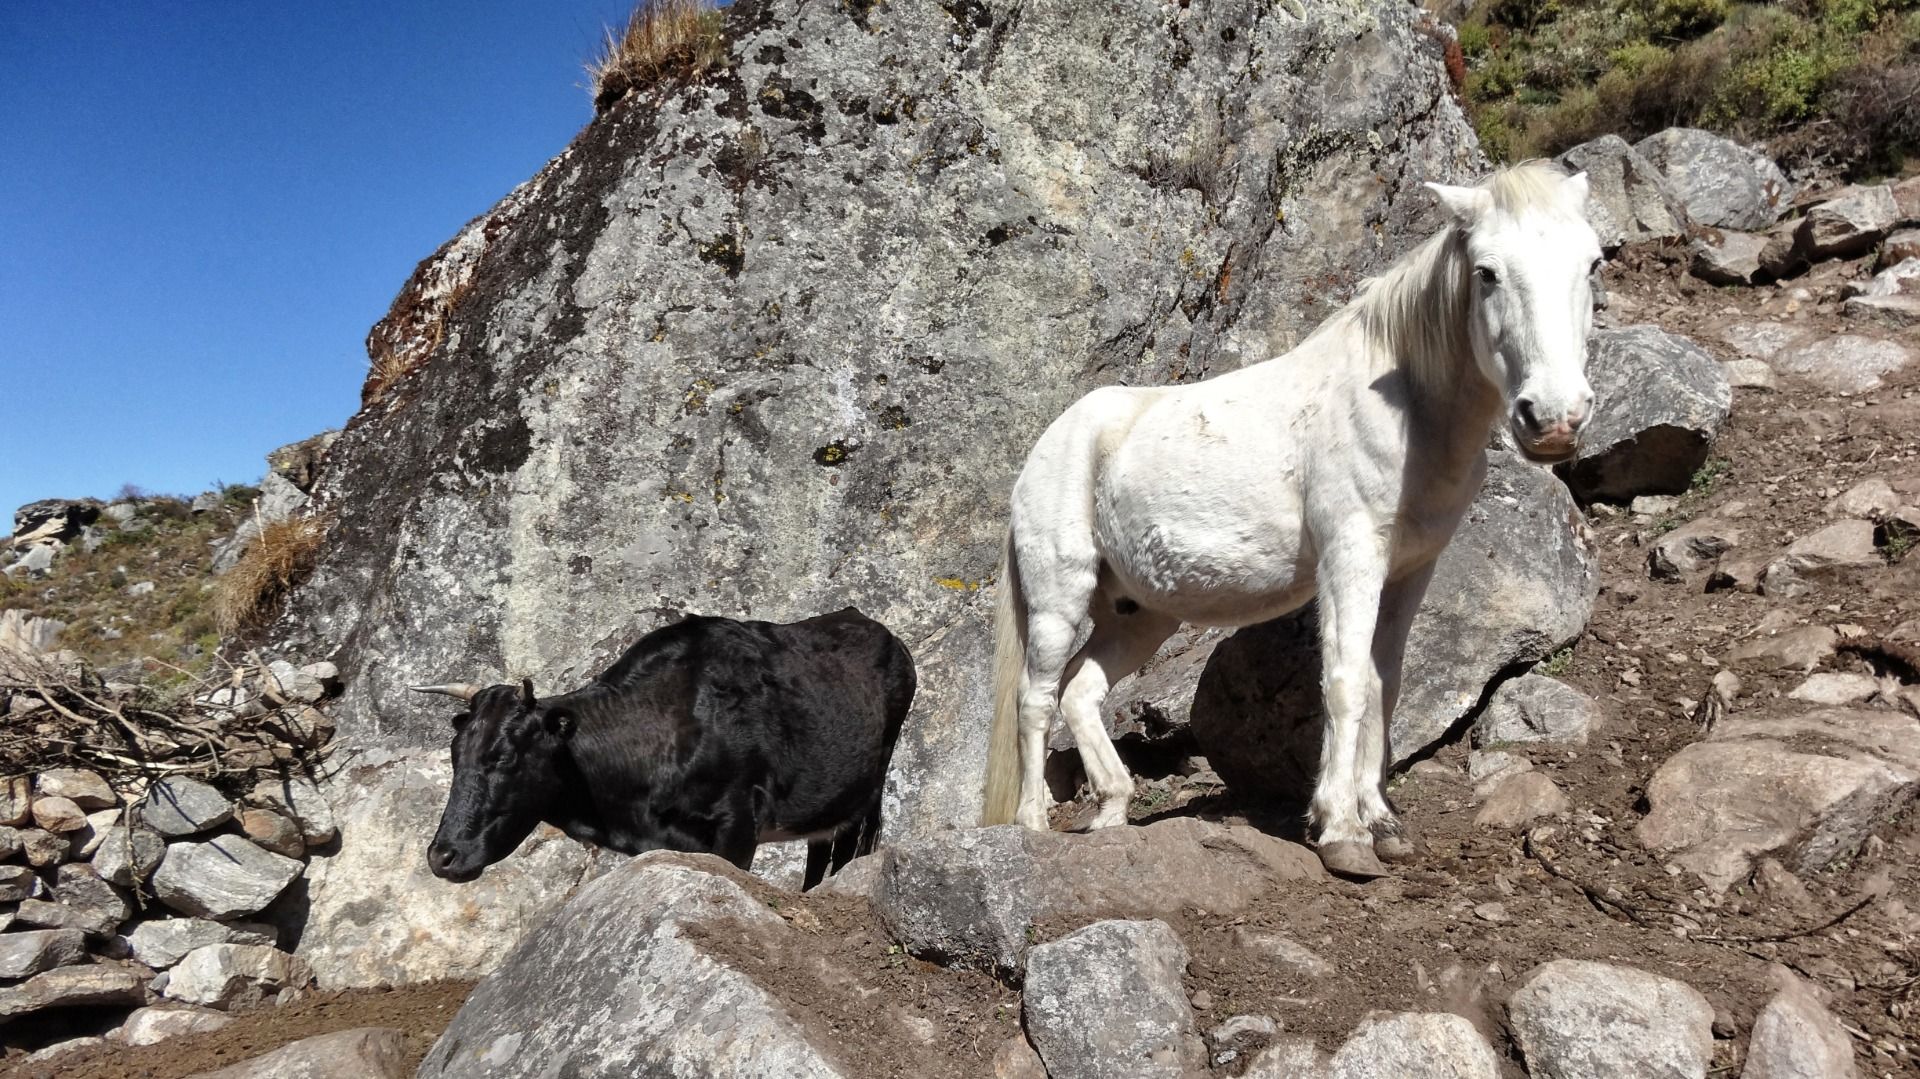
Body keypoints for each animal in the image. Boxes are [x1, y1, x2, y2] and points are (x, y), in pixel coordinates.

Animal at [413, 607, 915, 890]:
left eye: (504, 756)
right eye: (455, 755)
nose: (442, 856)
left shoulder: (738, 824)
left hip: (869, 788)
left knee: (848, 846)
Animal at [979, 162, 1603, 878]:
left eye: (1592, 263)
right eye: (1487, 272)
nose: (1553, 419)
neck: (1408, 410)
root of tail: (1046, 447)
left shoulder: (1409, 573)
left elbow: (1384, 685)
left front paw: (1382, 821)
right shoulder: (1349, 559)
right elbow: (1345, 682)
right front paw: (1342, 832)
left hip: (1143, 614)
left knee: (1081, 691)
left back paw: (1111, 811)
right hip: (1059, 598)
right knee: (1036, 698)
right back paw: (1031, 825)